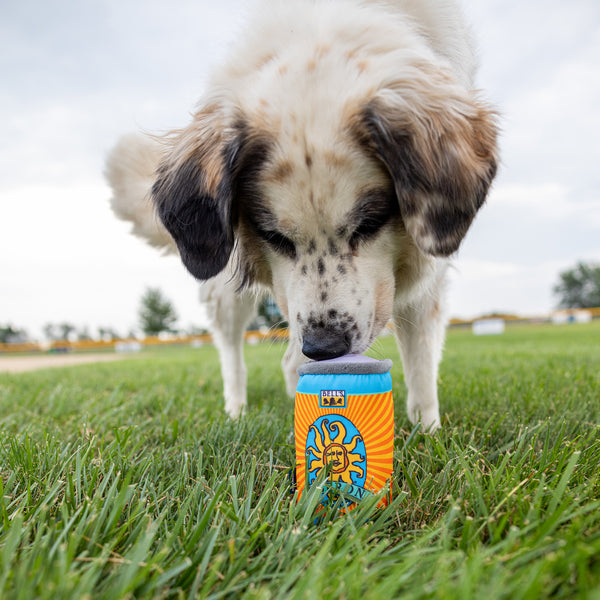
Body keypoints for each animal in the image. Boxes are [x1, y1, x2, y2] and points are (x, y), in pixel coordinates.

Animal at [106, 1, 496, 432]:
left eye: (370, 224)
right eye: (274, 237)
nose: (324, 348)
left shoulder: (426, 266)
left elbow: (421, 363)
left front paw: (427, 430)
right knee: (234, 351)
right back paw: (236, 411)